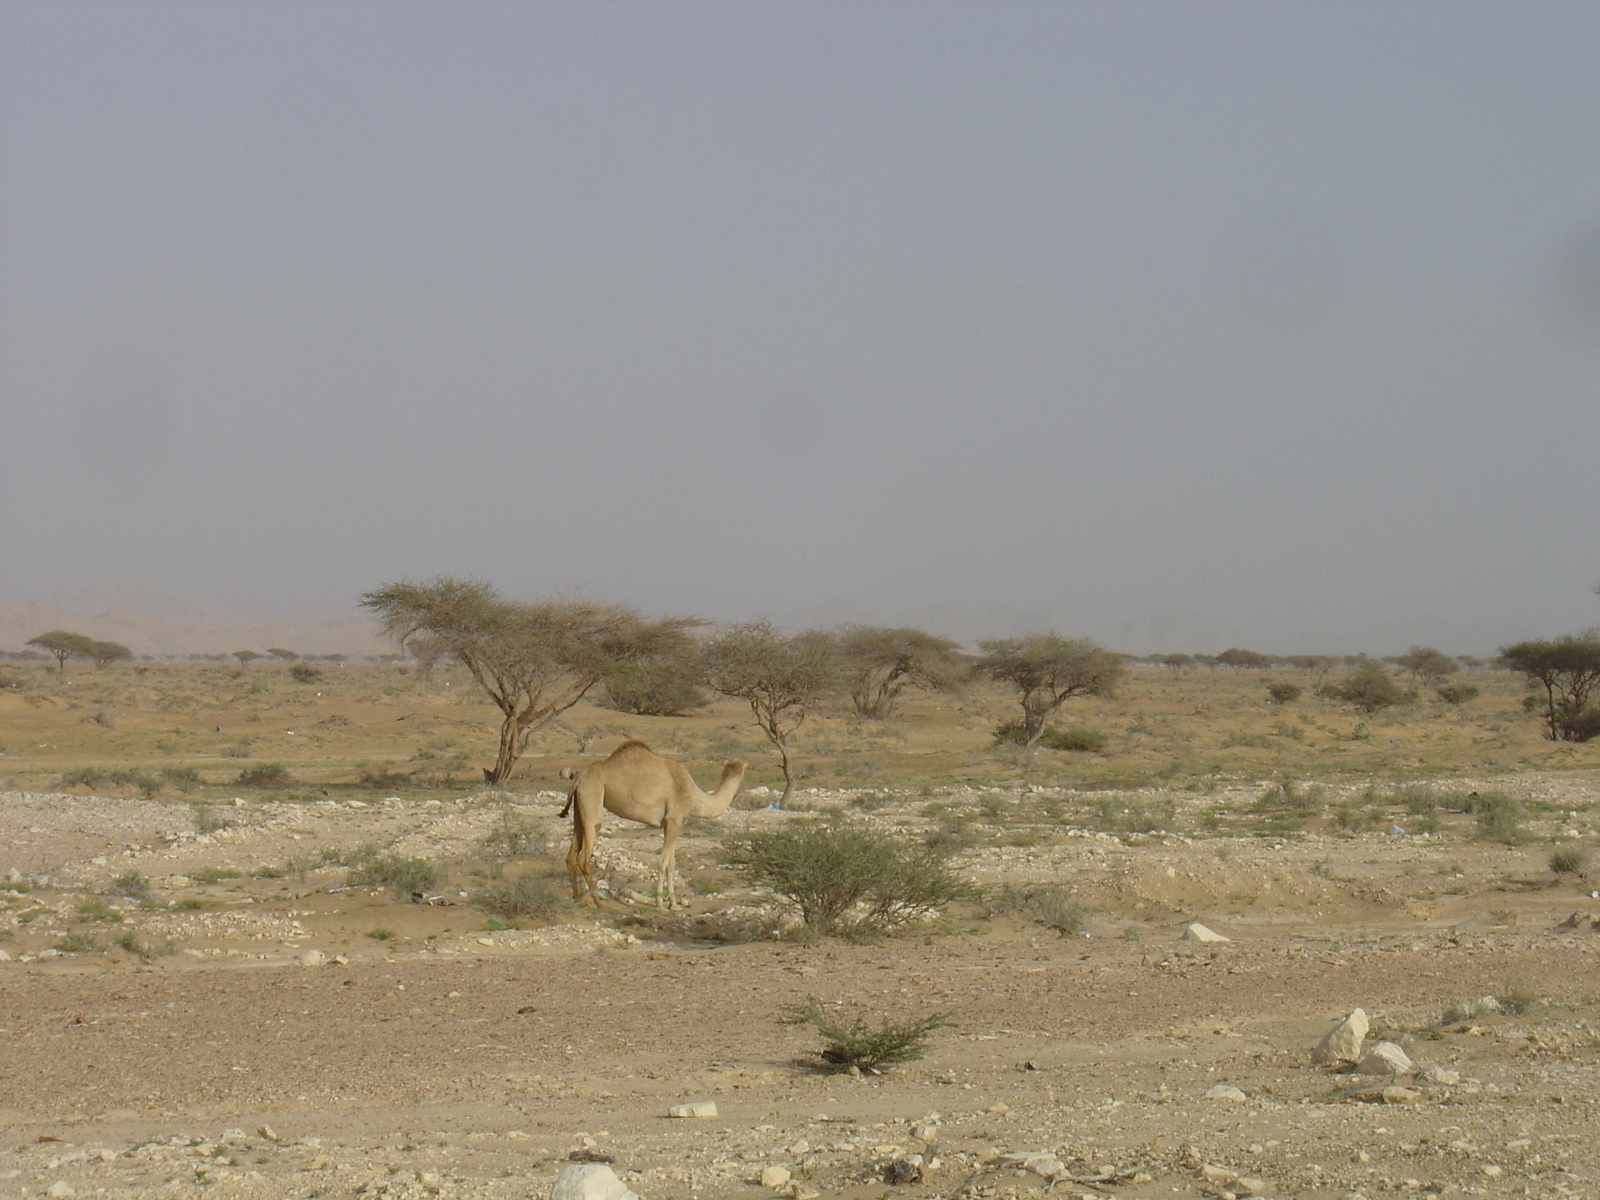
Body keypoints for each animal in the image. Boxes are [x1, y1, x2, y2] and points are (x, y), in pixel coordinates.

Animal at [560, 742, 745, 908]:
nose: (738, 793)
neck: (695, 797)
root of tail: (578, 779)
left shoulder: (673, 823)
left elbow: (671, 864)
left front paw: (674, 904)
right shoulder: (674, 820)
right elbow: (663, 863)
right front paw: (660, 903)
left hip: (579, 808)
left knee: (571, 855)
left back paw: (577, 898)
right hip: (592, 798)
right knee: (584, 857)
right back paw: (599, 903)